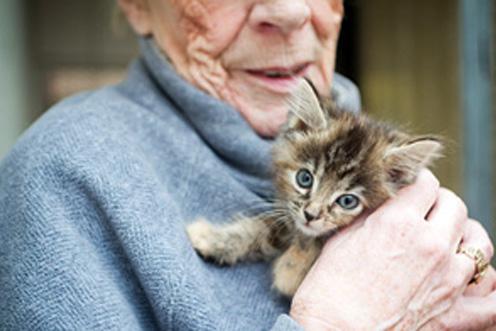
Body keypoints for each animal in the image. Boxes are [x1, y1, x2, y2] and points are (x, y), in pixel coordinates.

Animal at [186, 80, 442, 298]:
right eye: (305, 178)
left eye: (347, 201)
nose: (311, 215)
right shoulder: (289, 216)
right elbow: (261, 226)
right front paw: (214, 239)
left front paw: (292, 268)